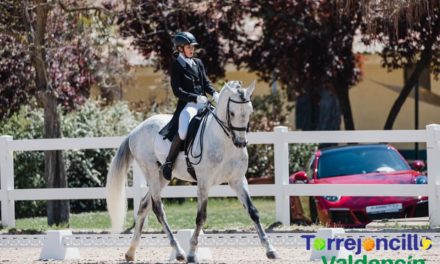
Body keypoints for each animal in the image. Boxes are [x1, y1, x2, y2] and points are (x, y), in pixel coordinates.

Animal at [106, 80, 276, 262]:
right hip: (150, 172)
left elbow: (253, 212)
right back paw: (179, 252)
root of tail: (135, 130)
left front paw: (270, 249)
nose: (240, 142)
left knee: (144, 205)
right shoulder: (203, 183)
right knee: (158, 210)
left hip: (162, 176)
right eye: (232, 112)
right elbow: (201, 217)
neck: (224, 141)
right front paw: (192, 253)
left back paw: (131, 252)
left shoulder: (237, 181)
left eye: (250, 111)